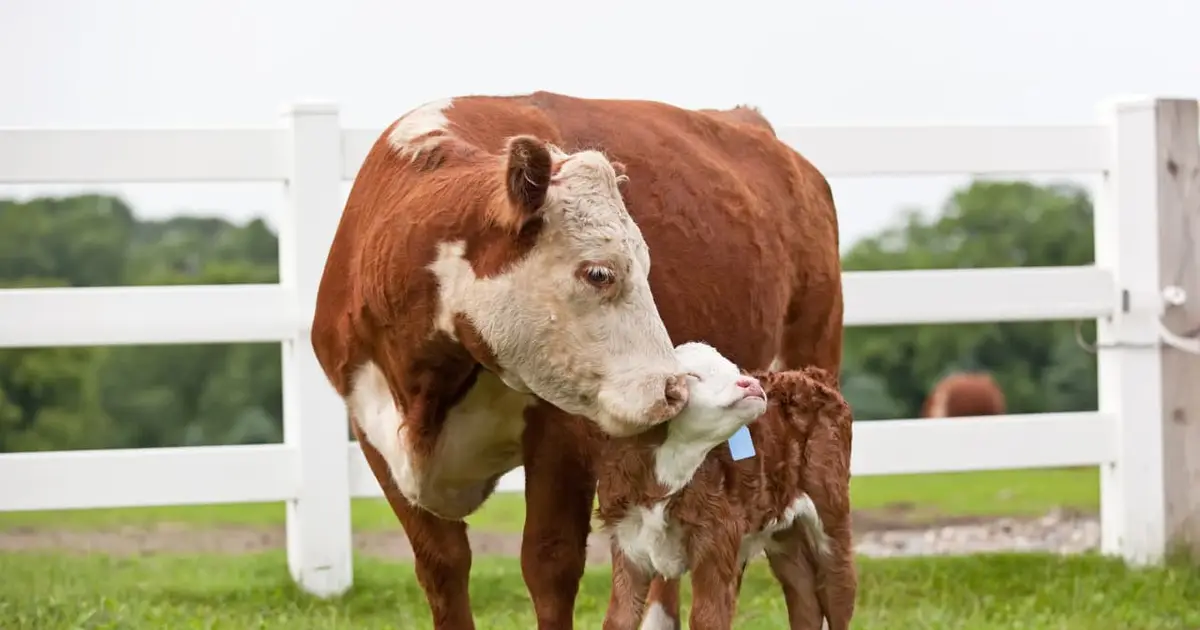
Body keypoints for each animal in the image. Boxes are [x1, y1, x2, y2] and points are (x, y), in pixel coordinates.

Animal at [310, 91, 844, 629]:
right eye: (599, 273)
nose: (672, 389)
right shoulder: (373, 434)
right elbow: (443, 566)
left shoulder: (564, 433)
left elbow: (549, 563)